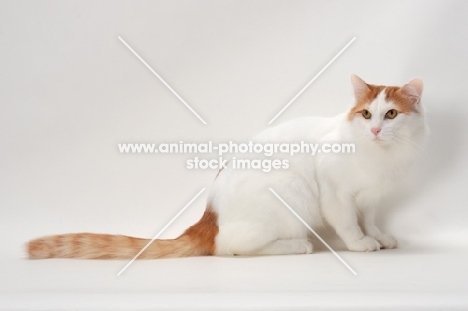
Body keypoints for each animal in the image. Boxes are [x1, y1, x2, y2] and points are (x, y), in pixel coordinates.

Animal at [26, 76, 428, 260]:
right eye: (367, 114)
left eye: (391, 114)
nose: (375, 130)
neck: (380, 157)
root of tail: (208, 216)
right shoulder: (335, 194)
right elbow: (347, 222)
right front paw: (360, 243)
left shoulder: (373, 198)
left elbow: (370, 219)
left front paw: (379, 236)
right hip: (291, 192)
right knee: (231, 248)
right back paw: (298, 244)